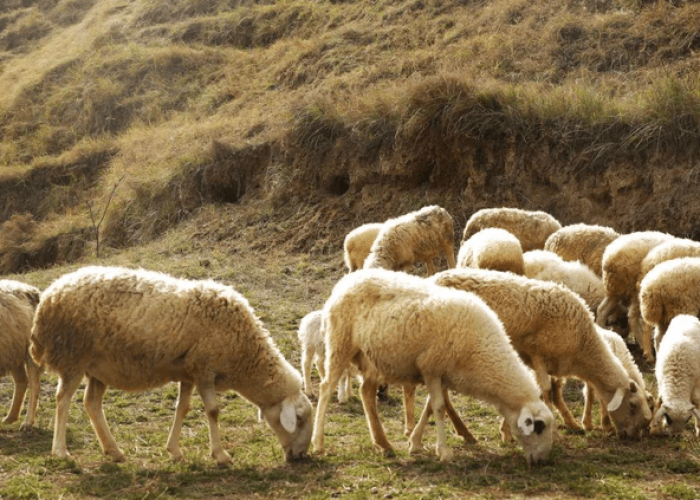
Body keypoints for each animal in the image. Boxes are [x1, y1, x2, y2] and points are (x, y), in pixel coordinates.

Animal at [0, 282, 41, 430]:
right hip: (13, 352)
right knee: (22, 381)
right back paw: (10, 418)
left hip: (30, 350)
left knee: (34, 384)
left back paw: (28, 422)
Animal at [30, 268, 314, 466]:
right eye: (299, 418)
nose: (301, 456)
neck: (245, 356)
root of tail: (50, 295)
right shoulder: (204, 369)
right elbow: (213, 411)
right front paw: (220, 455)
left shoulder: (189, 372)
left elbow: (182, 408)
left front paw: (175, 451)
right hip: (73, 356)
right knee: (63, 399)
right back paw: (61, 451)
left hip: (97, 367)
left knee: (91, 403)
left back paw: (114, 451)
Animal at [314, 268, 556, 466]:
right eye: (539, 427)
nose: (543, 462)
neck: (481, 352)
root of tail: (347, 280)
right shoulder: (431, 367)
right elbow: (438, 407)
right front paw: (444, 452)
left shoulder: (439, 373)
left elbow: (430, 406)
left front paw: (414, 443)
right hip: (340, 343)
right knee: (326, 388)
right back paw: (318, 444)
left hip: (370, 357)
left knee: (366, 392)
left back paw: (384, 444)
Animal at [430, 268, 652, 440]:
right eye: (632, 405)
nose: (634, 436)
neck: (583, 343)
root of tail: (434, 278)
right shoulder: (537, 352)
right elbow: (545, 390)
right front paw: (553, 432)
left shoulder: (553, 362)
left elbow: (552, 391)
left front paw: (507, 431)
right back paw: (464, 432)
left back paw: (464, 433)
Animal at [592, 230, 676, 364]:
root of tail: (609, 255)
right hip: (635, 289)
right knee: (632, 316)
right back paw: (644, 346)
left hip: (617, 289)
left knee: (602, 310)